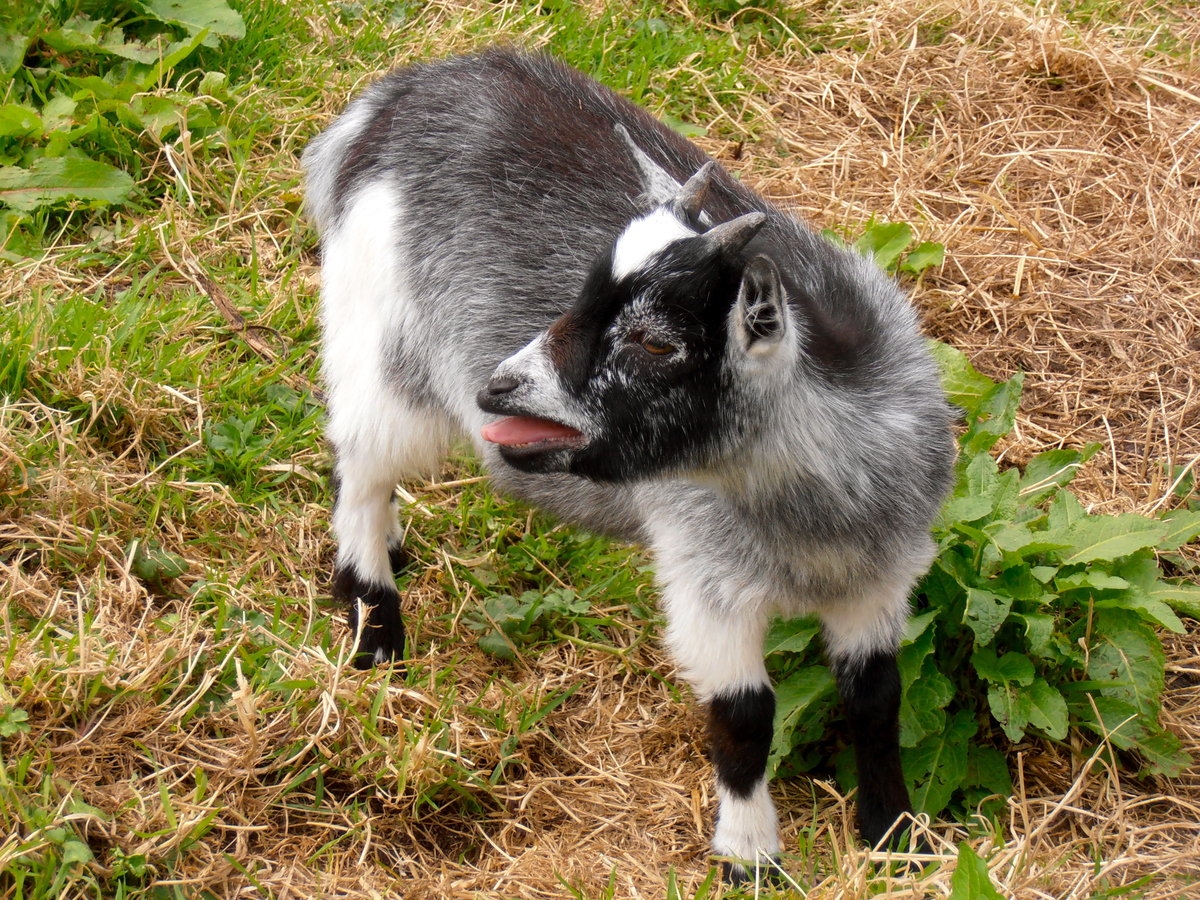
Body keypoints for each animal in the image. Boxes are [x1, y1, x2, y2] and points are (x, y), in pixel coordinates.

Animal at [302, 48, 955, 880]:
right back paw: (374, 628)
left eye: (655, 342)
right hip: (386, 347)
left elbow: (876, 697)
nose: (498, 388)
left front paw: (897, 838)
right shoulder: (708, 584)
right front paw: (749, 858)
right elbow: (745, 716)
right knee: (359, 468)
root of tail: (400, 94)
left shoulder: (879, 580)